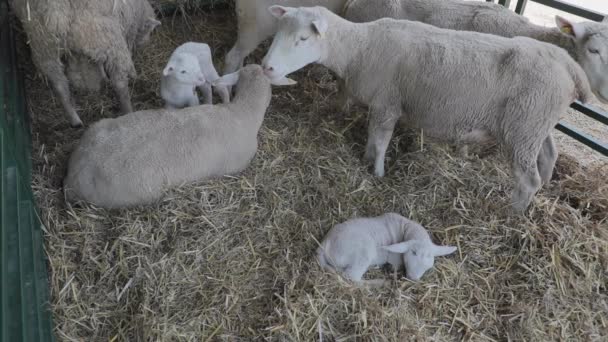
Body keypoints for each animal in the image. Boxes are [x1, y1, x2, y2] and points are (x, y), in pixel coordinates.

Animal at [10, 0, 162, 127]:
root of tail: (55, 8)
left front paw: (103, 76)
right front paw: (133, 73)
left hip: (42, 42)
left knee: (59, 85)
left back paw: (74, 119)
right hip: (105, 35)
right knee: (119, 84)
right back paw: (128, 112)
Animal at [262, 6, 592, 214]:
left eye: (303, 38)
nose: (267, 67)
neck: (360, 47)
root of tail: (567, 63)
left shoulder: (387, 104)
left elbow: (380, 141)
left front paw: (378, 173)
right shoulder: (380, 106)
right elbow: (372, 138)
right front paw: (368, 161)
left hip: (524, 127)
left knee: (527, 180)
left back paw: (513, 213)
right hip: (536, 124)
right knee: (548, 156)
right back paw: (545, 189)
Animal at [318, 214, 456, 284]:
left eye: (429, 265)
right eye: (413, 252)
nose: (413, 278)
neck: (405, 227)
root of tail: (325, 243)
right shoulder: (395, 258)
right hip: (362, 253)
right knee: (351, 277)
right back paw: (377, 283)